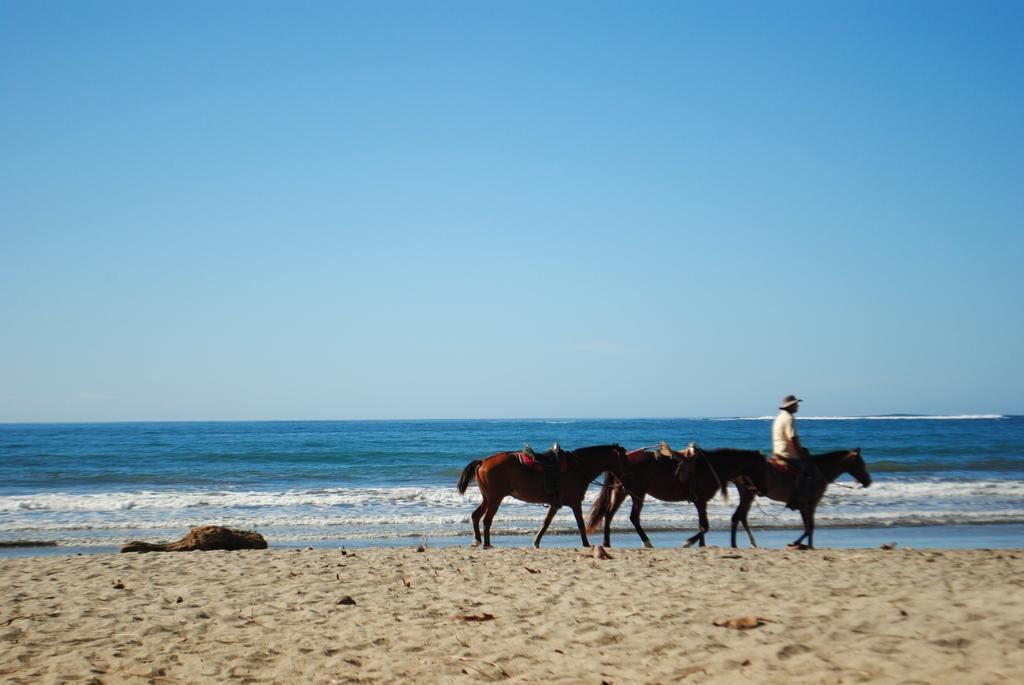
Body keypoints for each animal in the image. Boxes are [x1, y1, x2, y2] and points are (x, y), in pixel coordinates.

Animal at [458, 444, 630, 548]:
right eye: (624, 459)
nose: (627, 479)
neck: (578, 468)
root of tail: (483, 461)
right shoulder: (575, 503)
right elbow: (581, 524)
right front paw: (586, 544)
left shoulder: (555, 505)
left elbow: (546, 523)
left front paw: (536, 542)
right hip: (495, 499)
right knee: (486, 520)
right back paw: (486, 543)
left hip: (487, 499)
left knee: (476, 516)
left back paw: (478, 540)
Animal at [585, 444, 770, 548]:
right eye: (763, 468)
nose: (762, 491)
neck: (711, 467)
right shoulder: (700, 500)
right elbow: (705, 526)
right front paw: (689, 542)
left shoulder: (701, 502)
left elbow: (702, 525)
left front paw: (701, 545)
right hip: (636, 492)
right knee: (633, 517)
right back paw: (646, 542)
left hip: (622, 491)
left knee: (609, 515)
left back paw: (607, 543)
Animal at [729, 448, 872, 548]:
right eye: (860, 463)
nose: (868, 481)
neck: (820, 471)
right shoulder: (810, 504)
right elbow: (809, 527)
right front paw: (800, 544)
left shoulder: (805, 505)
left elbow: (808, 527)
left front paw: (807, 545)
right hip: (748, 494)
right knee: (738, 517)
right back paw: (737, 545)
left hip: (747, 494)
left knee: (740, 517)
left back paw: (746, 543)